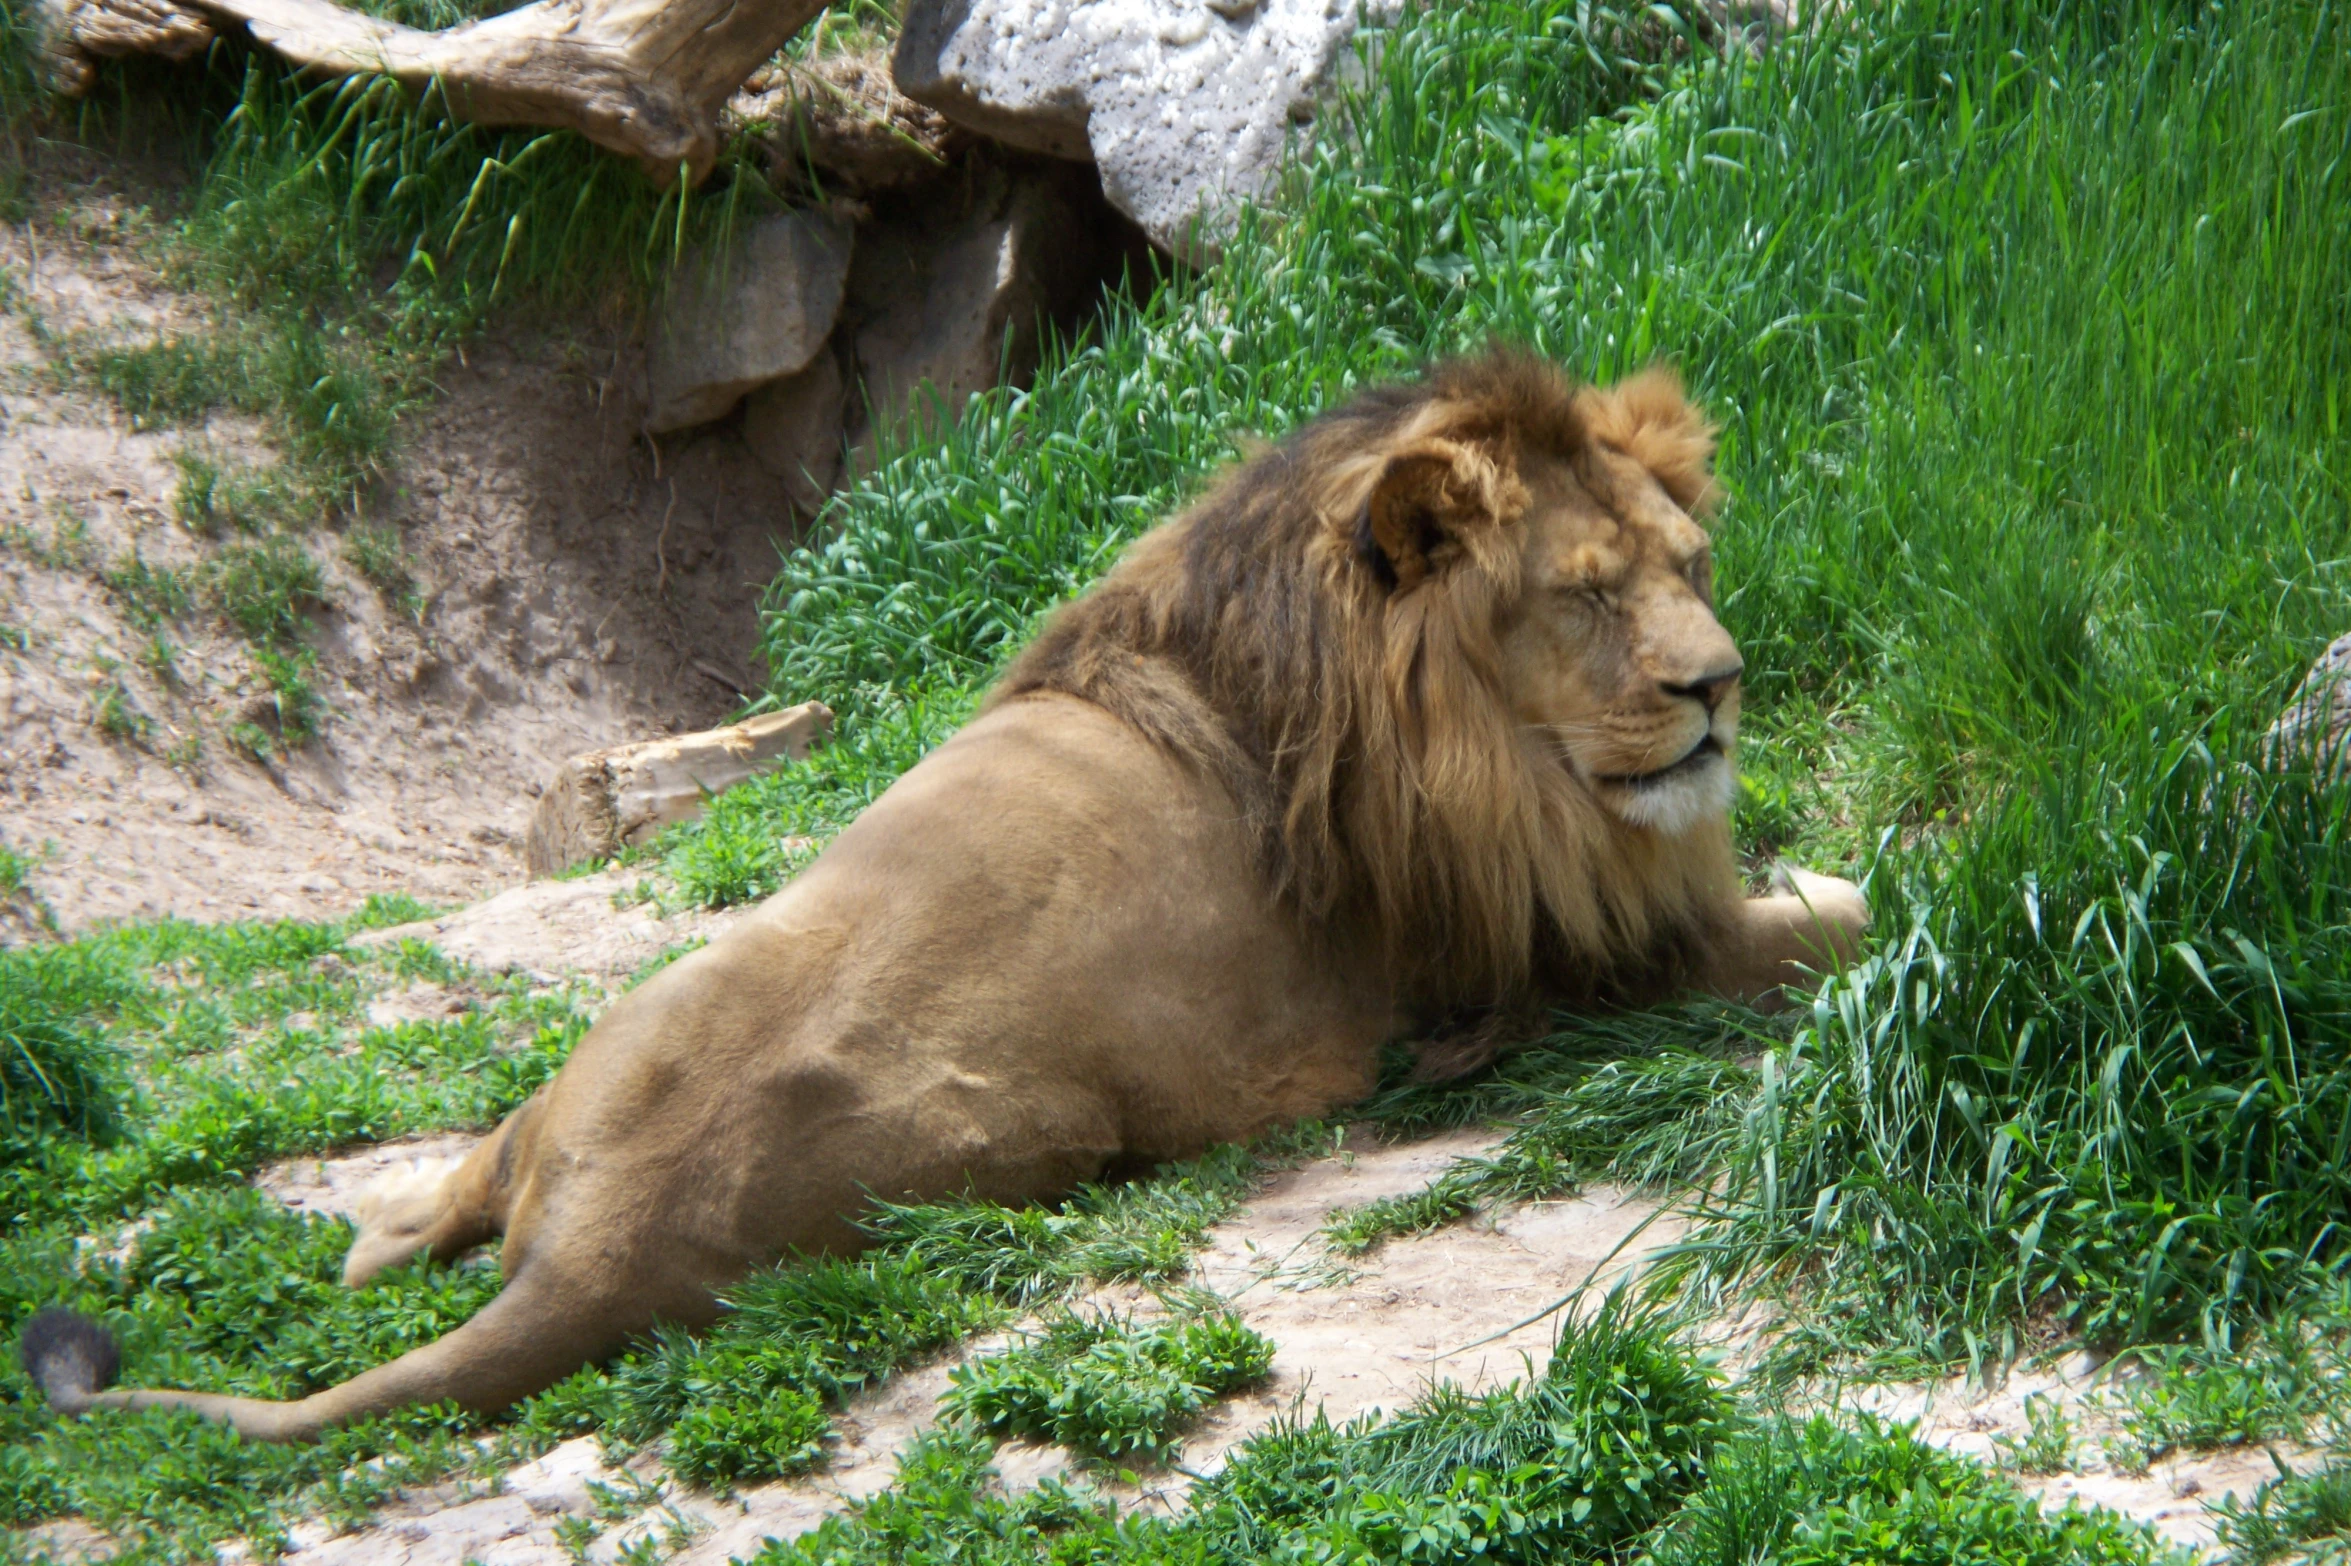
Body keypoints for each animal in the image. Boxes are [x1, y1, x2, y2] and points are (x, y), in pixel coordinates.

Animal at [18, 345, 1852, 1439]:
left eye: (1688, 569)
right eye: (1586, 597)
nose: (1722, 684)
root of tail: (601, 1230)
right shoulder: (1558, 967)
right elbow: (1832, 924)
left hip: (589, 1046)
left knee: (420, 1215)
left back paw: (384, 1224)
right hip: (1031, 1130)